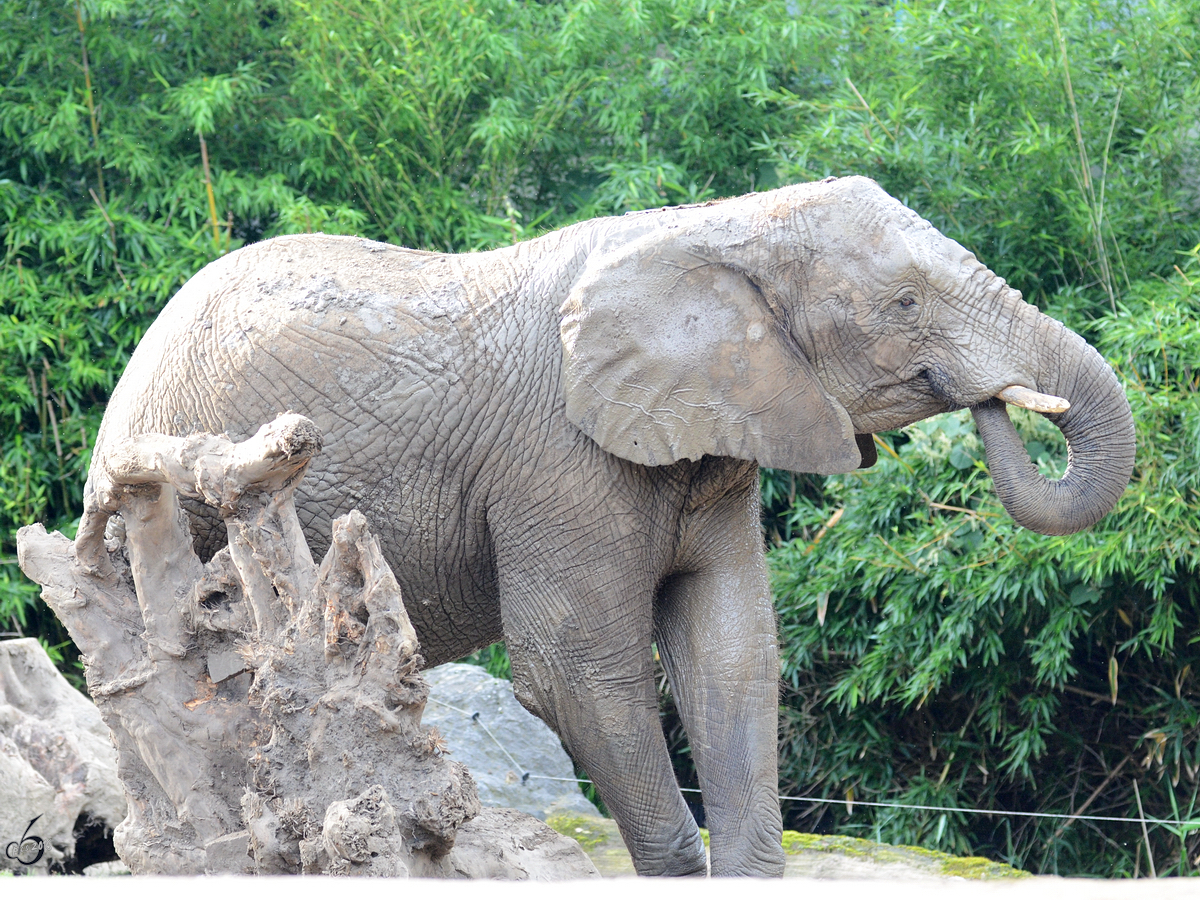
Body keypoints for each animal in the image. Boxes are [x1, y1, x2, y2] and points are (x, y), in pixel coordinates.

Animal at [75, 174, 1132, 873]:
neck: (718, 229)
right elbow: (577, 671)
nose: (994, 401)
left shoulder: (713, 443)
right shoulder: (560, 463)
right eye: (904, 305)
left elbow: (732, 648)